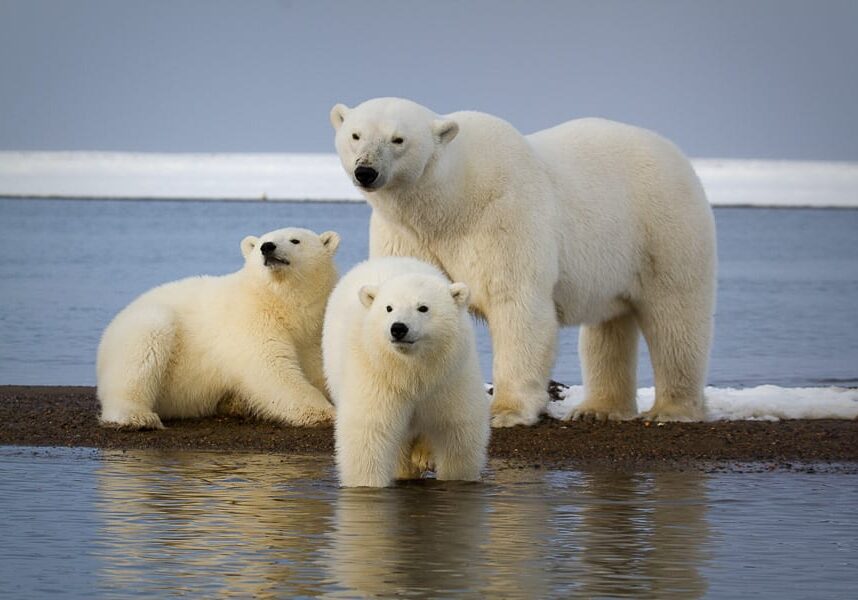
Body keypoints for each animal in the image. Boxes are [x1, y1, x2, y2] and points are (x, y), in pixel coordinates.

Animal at [96, 227, 340, 430]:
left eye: (295, 240)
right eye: (262, 241)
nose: (267, 247)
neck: (280, 302)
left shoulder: (312, 332)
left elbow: (318, 367)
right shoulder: (251, 319)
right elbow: (271, 368)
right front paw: (325, 413)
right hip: (141, 333)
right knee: (143, 347)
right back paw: (137, 416)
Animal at [322, 256, 490, 488]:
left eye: (423, 307)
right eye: (388, 307)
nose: (398, 328)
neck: (410, 368)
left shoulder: (450, 376)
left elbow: (457, 432)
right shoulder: (377, 374)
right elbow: (369, 433)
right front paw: (368, 484)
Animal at [330, 97, 717, 426]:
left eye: (398, 139)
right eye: (355, 134)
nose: (366, 171)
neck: (450, 201)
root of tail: (676, 155)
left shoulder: (504, 215)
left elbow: (517, 305)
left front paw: (506, 411)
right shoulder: (407, 234)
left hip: (663, 227)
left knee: (675, 315)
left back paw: (673, 409)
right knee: (609, 325)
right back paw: (600, 409)